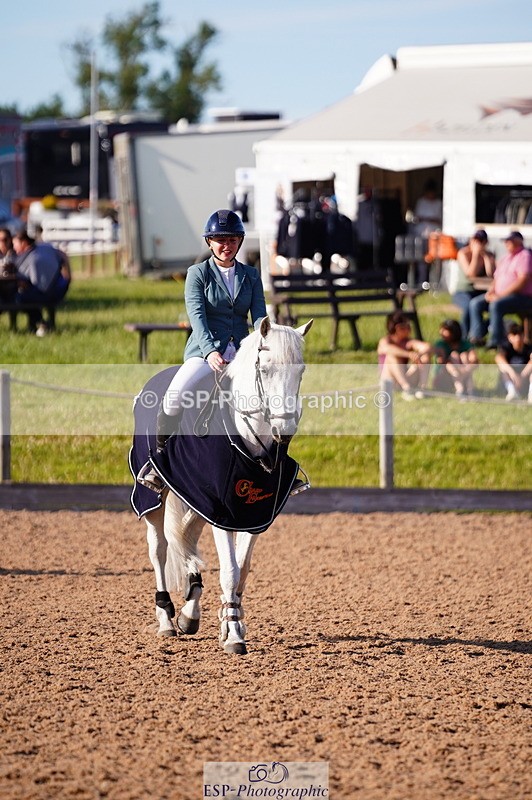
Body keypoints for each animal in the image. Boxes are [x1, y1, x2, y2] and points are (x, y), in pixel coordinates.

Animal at [129, 316, 312, 654]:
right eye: (266, 370)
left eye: (301, 371)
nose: (285, 430)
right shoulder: (222, 511)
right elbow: (229, 570)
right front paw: (234, 635)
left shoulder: (251, 514)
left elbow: (242, 571)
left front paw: (231, 621)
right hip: (155, 499)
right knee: (159, 549)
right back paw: (166, 619)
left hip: (194, 498)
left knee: (187, 539)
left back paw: (190, 611)